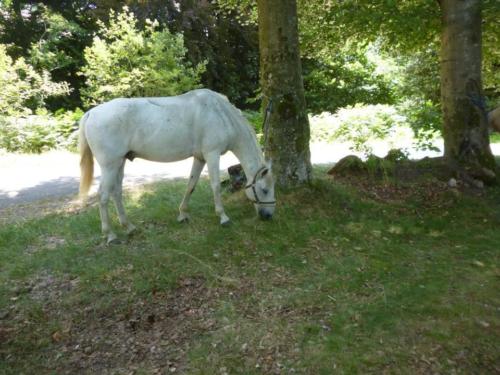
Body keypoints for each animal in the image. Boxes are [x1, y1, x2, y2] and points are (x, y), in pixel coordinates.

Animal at [78, 89, 276, 245]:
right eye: (265, 190)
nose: (268, 216)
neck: (221, 114)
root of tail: (91, 113)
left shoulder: (200, 158)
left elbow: (191, 185)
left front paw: (182, 215)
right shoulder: (212, 154)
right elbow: (215, 186)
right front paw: (223, 217)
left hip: (120, 162)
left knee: (116, 192)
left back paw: (129, 227)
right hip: (110, 165)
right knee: (103, 196)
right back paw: (110, 235)